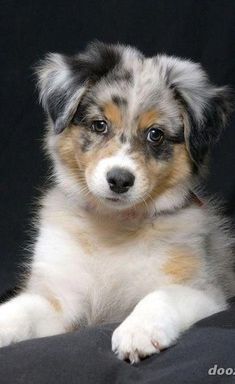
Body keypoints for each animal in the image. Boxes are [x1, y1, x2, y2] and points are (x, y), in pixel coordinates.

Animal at [0, 42, 235, 364]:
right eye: (99, 125)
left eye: (155, 134)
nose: (120, 180)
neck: (113, 227)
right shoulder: (60, 299)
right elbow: (20, 309)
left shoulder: (203, 290)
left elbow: (161, 295)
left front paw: (138, 330)